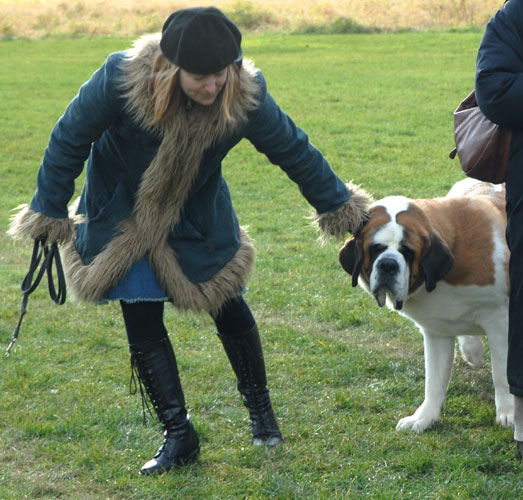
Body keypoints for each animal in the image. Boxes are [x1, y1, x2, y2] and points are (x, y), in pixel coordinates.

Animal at [338, 178, 514, 432]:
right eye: (376, 248)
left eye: (407, 252)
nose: (388, 265)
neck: (439, 278)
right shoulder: (436, 331)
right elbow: (434, 380)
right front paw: (424, 417)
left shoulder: (500, 322)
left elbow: (501, 374)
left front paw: (509, 414)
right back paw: (472, 351)